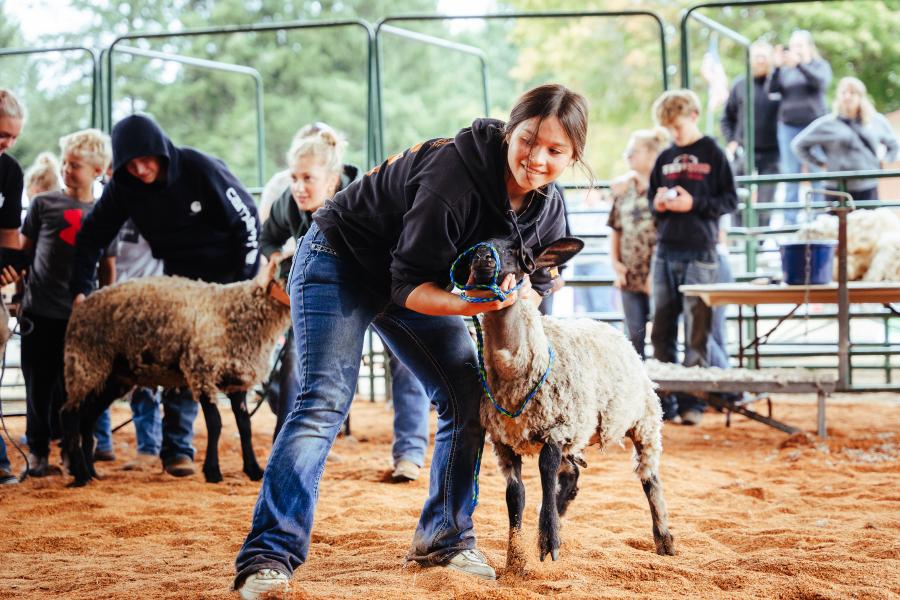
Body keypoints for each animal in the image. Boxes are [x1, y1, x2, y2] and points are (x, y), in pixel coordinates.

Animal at [61, 259, 291, 487]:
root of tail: (81, 306)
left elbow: (245, 425)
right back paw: (81, 475)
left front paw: (253, 470)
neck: (238, 310)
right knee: (70, 416)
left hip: (112, 378)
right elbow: (215, 424)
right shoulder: (201, 371)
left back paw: (92, 473)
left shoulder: (237, 379)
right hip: (86, 364)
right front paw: (213, 471)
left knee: (87, 420)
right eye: (288, 265)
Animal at [456, 237, 674, 572]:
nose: (483, 257)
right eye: (475, 246)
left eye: (516, 250)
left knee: (649, 477)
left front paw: (549, 542)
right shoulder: (503, 442)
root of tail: (606, 325)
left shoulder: (556, 429)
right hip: (581, 432)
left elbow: (546, 475)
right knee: (572, 475)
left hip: (644, 421)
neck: (515, 371)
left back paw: (663, 539)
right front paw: (516, 558)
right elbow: (515, 495)